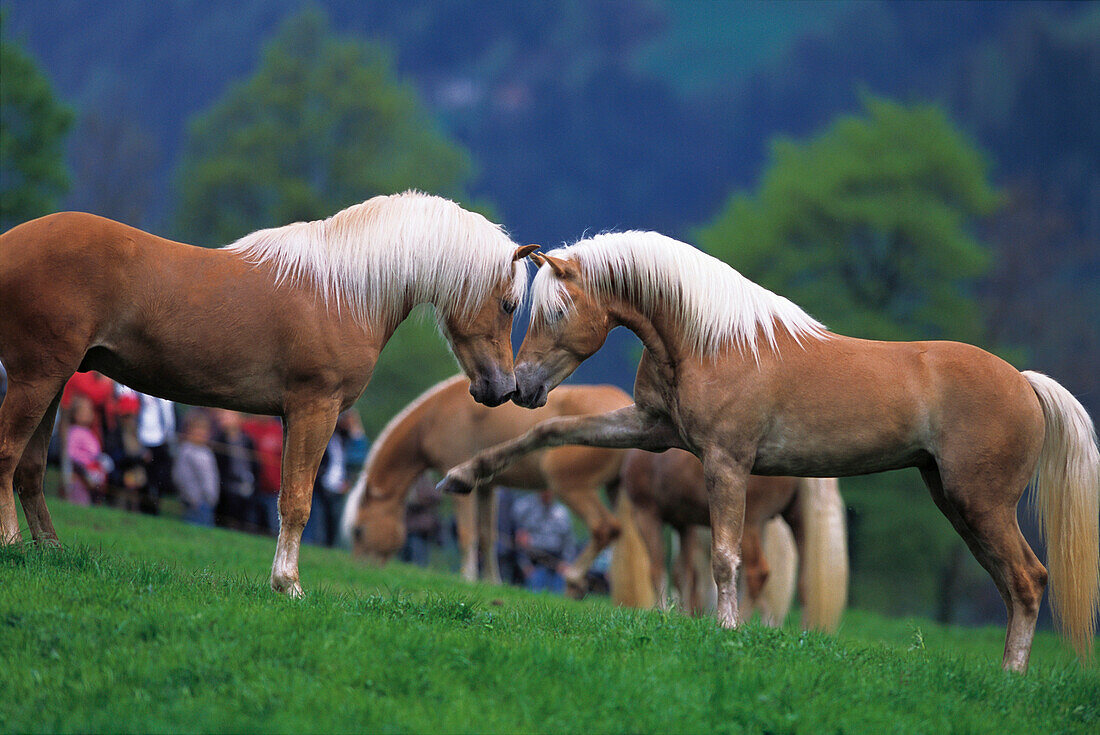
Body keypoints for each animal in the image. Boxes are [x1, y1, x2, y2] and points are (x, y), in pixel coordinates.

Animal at [0, 191, 534, 598]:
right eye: (509, 305)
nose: (503, 388)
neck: (344, 291)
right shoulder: (315, 409)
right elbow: (297, 502)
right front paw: (288, 585)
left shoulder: (292, 416)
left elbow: (287, 498)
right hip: (36, 378)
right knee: (8, 457)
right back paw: (11, 543)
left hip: (53, 382)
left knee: (30, 470)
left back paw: (50, 550)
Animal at [440, 231, 1100, 673]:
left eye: (556, 310)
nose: (524, 387)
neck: (710, 340)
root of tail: (1025, 383)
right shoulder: (652, 429)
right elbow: (550, 433)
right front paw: (461, 475)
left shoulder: (726, 463)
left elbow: (724, 558)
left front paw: (728, 631)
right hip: (956, 502)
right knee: (1013, 582)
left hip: (980, 502)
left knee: (1028, 580)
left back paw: (1012, 677)